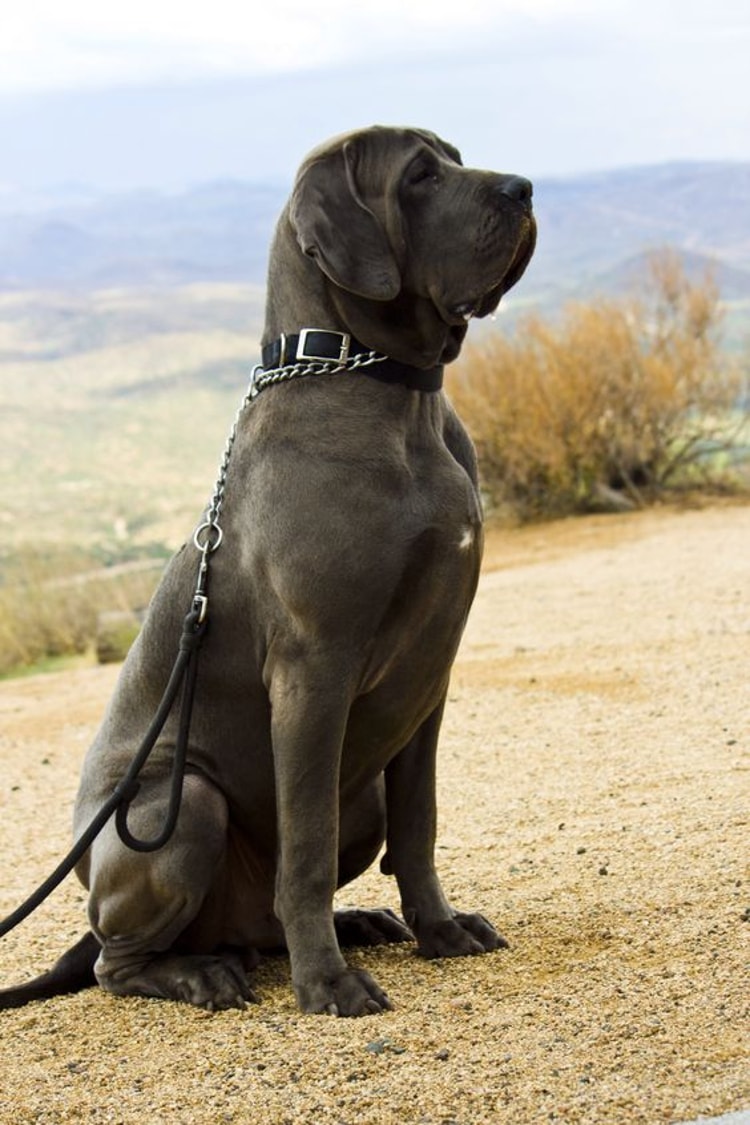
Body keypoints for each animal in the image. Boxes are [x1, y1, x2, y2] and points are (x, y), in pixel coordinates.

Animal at [2, 127, 537, 1017]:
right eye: (421, 176)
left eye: (456, 157)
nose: (524, 188)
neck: (383, 387)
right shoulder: (313, 670)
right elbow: (307, 845)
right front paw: (328, 984)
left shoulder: (428, 681)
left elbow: (419, 820)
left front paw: (440, 928)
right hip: (179, 804)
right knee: (120, 959)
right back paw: (202, 972)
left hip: (359, 794)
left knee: (270, 910)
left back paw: (353, 924)